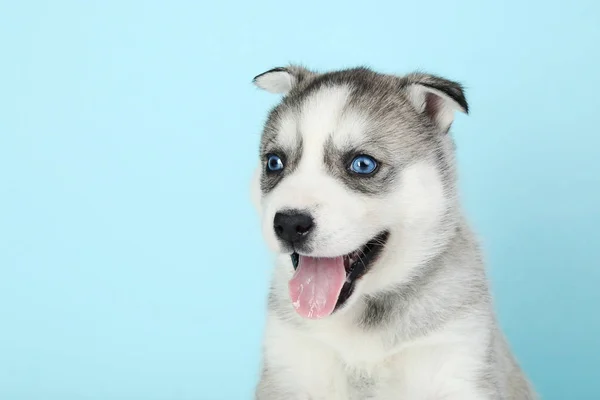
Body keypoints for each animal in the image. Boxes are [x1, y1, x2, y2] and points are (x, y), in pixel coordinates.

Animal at [248, 64, 536, 398]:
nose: (289, 224)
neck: (363, 319)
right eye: (274, 162)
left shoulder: (459, 362)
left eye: (362, 164)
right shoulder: (287, 368)